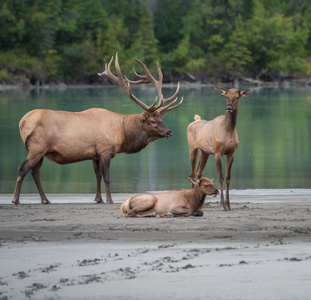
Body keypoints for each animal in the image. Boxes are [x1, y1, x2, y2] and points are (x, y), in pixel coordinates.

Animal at [12, 53, 183, 204]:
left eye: (162, 119)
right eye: (153, 121)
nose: (169, 132)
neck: (121, 133)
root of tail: (22, 122)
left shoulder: (94, 154)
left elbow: (98, 176)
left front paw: (98, 199)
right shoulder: (105, 150)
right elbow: (107, 177)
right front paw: (109, 200)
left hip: (41, 151)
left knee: (35, 172)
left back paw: (45, 200)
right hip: (37, 147)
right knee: (22, 169)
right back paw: (16, 199)